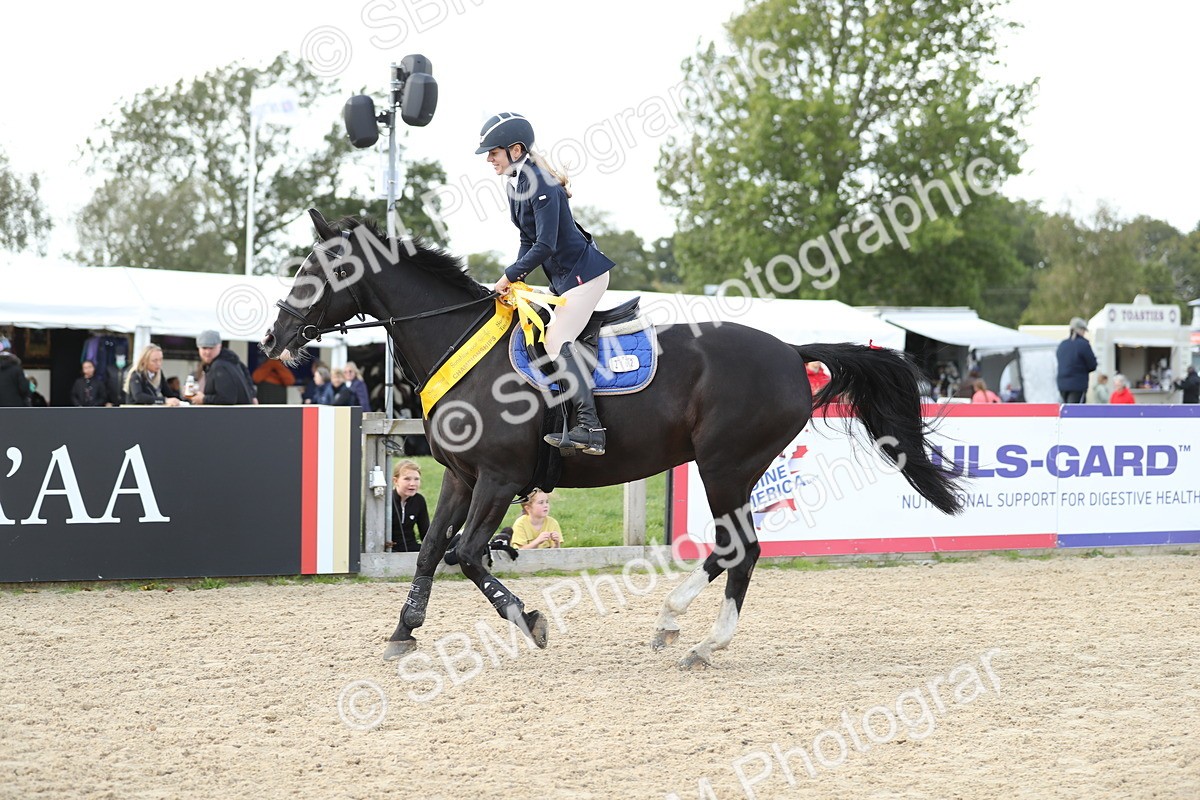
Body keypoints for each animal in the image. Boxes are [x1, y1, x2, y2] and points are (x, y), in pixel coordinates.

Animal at [261, 210, 964, 669]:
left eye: (324, 268)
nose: (273, 338)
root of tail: (791, 353)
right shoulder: (462, 477)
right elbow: (432, 551)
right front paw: (403, 631)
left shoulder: (500, 478)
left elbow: (467, 555)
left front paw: (530, 621)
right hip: (730, 468)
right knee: (733, 550)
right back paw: (678, 629)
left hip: (726, 465)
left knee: (740, 548)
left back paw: (700, 639)